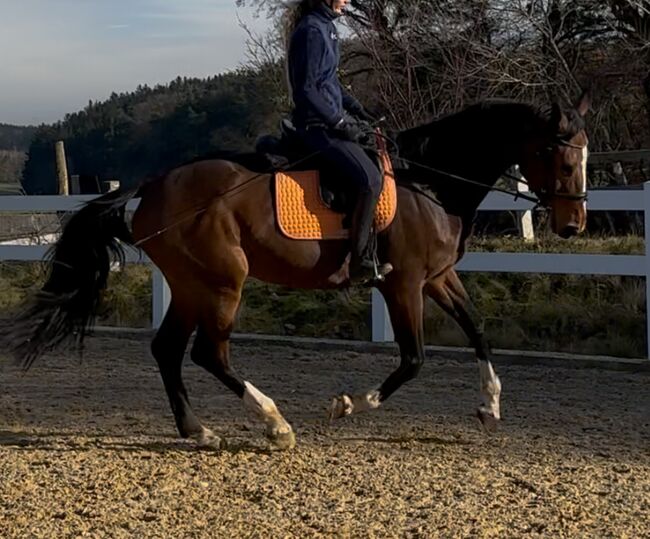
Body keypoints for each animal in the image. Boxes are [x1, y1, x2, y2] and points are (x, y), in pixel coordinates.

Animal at [3, 94, 588, 452]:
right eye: (562, 160)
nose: (574, 225)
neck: (429, 183)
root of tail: (151, 185)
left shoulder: (438, 277)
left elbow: (478, 331)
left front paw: (490, 406)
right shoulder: (401, 283)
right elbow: (413, 360)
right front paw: (347, 405)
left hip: (193, 284)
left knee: (168, 350)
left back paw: (199, 431)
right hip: (223, 282)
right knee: (208, 352)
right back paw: (274, 424)